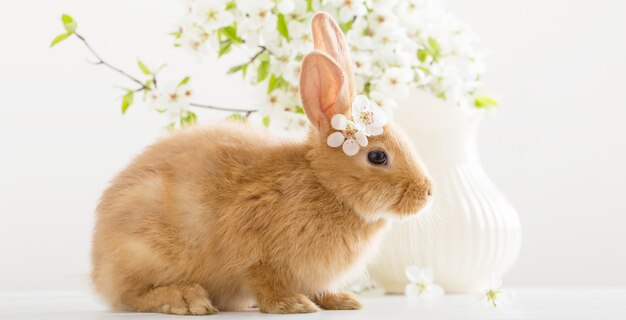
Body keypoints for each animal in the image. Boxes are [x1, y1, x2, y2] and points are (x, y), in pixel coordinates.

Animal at [91, 11, 428, 316]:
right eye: (377, 156)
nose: (426, 192)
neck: (325, 184)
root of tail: (98, 268)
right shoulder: (256, 251)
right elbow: (264, 279)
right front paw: (292, 305)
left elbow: (319, 288)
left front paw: (342, 301)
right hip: (148, 249)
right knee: (132, 295)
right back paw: (187, 299)